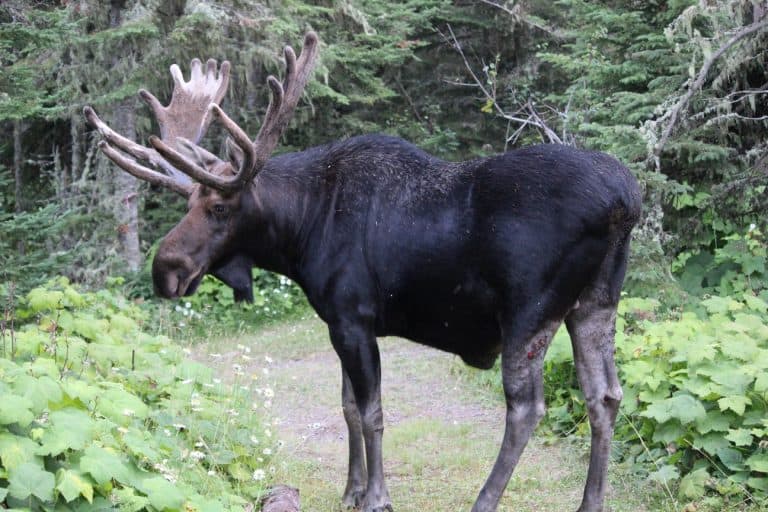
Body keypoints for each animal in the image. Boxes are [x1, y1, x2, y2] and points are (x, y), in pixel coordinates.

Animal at [84, 32, 641, 512]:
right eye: (188, 203)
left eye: (220, 207)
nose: (165, 270)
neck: (303, 229)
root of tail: (625, 201)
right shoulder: (337, 321)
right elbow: (349, 406)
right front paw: (351, 490)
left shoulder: (354, 317)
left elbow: (372, 413)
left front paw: (376, 496)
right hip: (595, 303)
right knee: (605, 396)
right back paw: (591, 503)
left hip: (529, 311)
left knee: (526, 409)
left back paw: (485, 501)